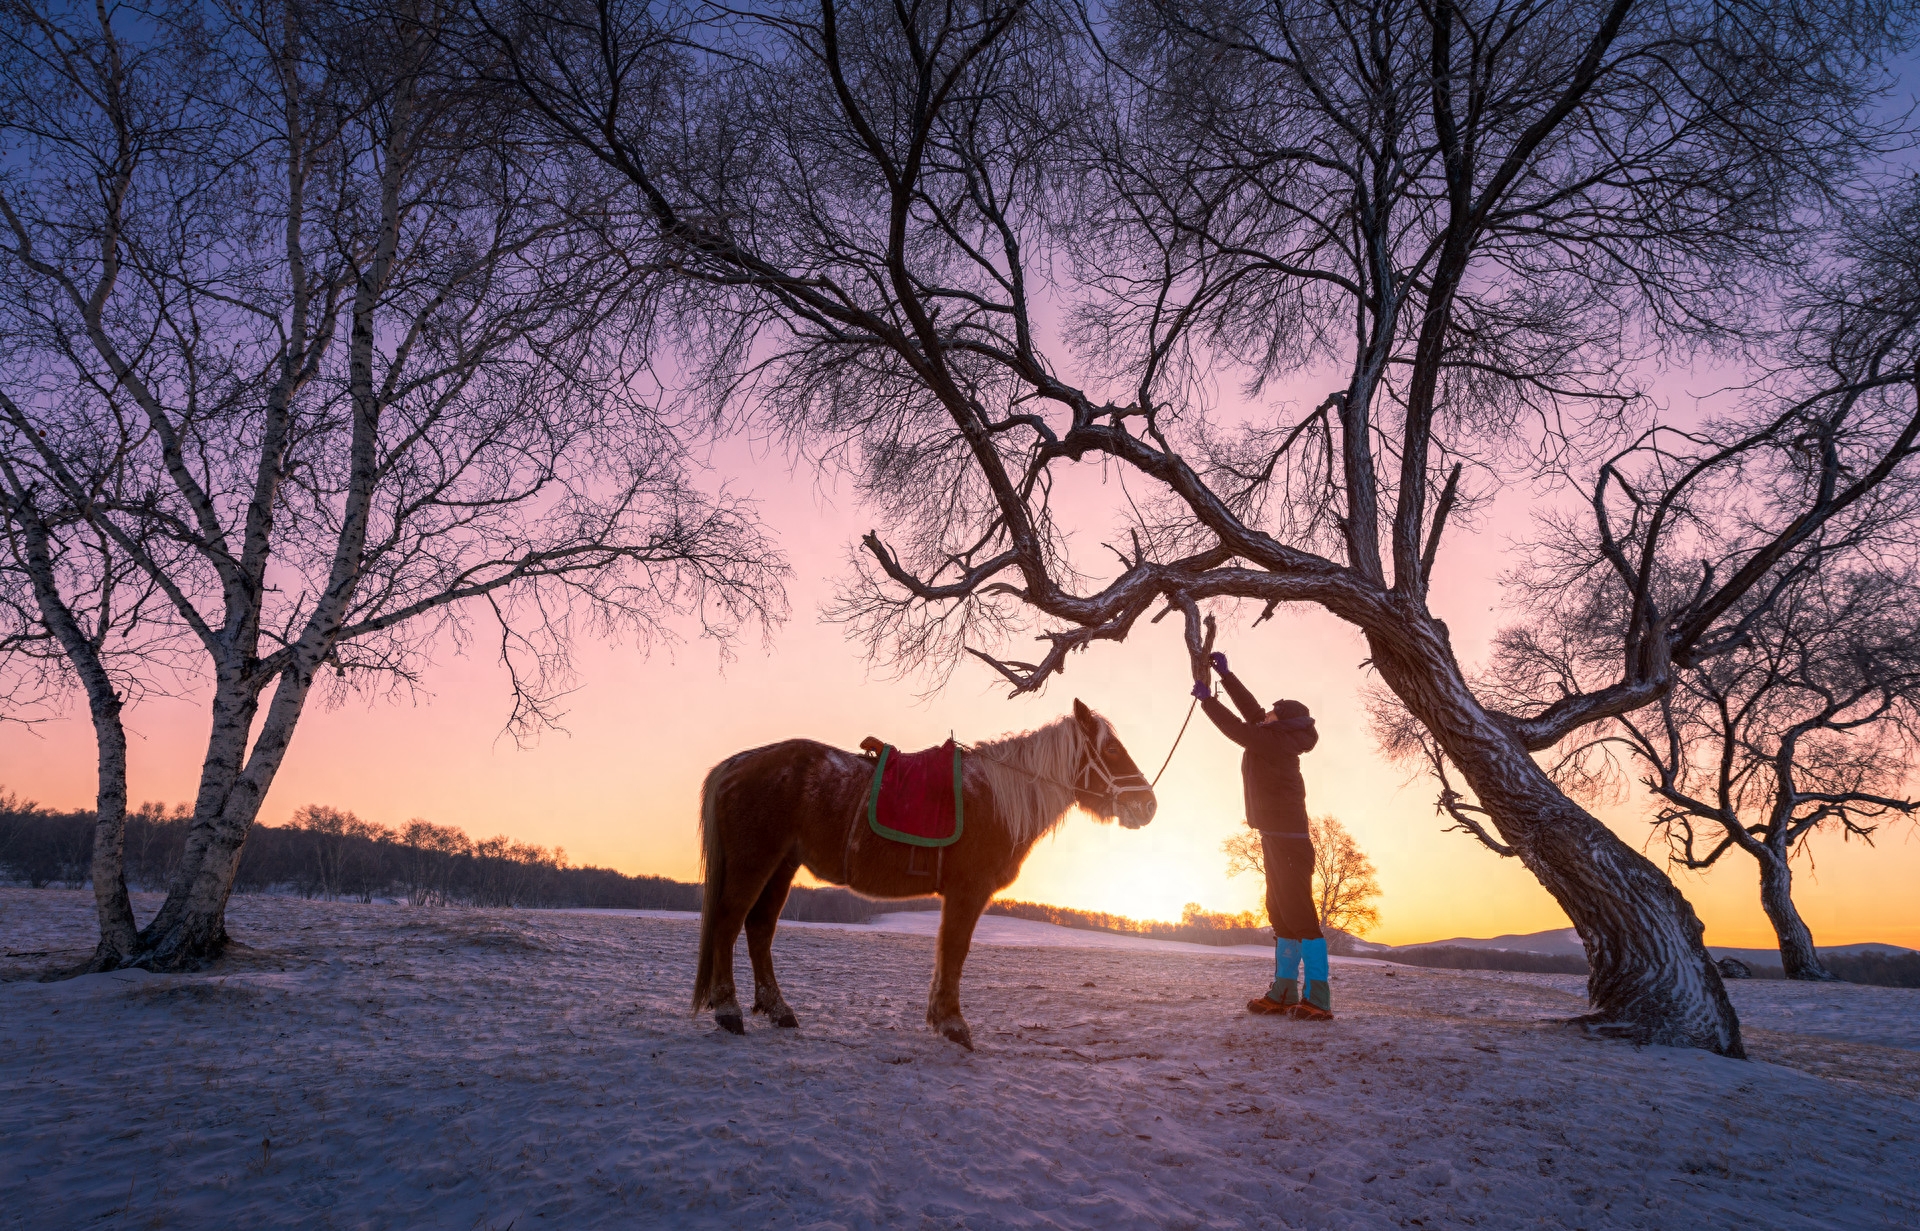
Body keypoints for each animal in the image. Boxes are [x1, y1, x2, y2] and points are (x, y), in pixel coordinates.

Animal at [698, 699, 1159, 1044]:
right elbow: (954, 950)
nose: (1148, 805)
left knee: (759, 928)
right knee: (728, 921)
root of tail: (739, 763)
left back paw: (778, 1010)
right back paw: (728, 1010)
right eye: (1112, 751)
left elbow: (945, 951)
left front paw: (940, 1017)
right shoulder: (968, 891)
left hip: (781, 865)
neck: (997, 796)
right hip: (754, 862)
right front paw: (953, 1023)